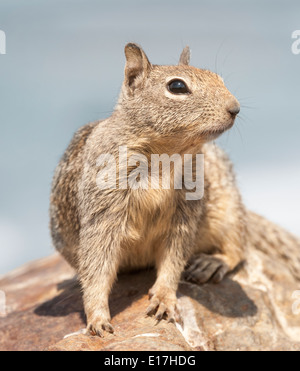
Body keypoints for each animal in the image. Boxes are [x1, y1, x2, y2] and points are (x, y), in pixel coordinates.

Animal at [49, 42, 300, 338]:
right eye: (177, 86)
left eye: (219, 79)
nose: (235, 108)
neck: (166, 156)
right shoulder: (104, 208)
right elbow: (96, 264)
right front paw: (97, 318)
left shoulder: (185, 211)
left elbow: (174, 257)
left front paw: (164, 298)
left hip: (227, 210)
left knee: (239, 247)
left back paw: (211, 263)